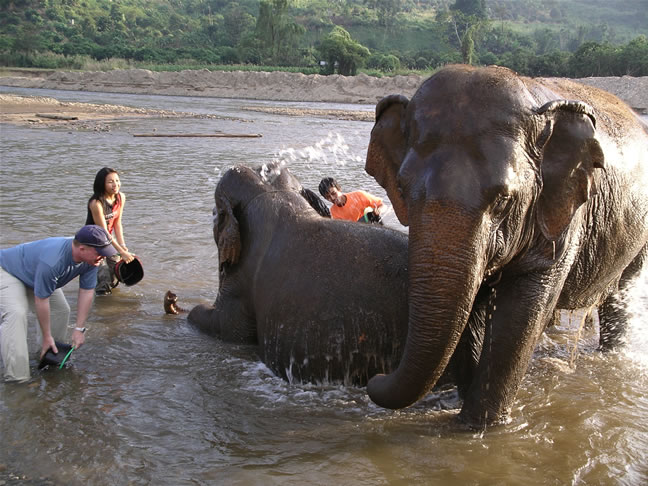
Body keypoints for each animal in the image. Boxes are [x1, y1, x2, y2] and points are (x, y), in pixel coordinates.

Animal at [365, 64, 648, 428]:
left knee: (622, 292)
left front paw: (478, 428)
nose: (375, 378)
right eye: (401, 187)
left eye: (503, 200)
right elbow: (470, 307)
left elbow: (520, 314)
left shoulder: (564, 212)